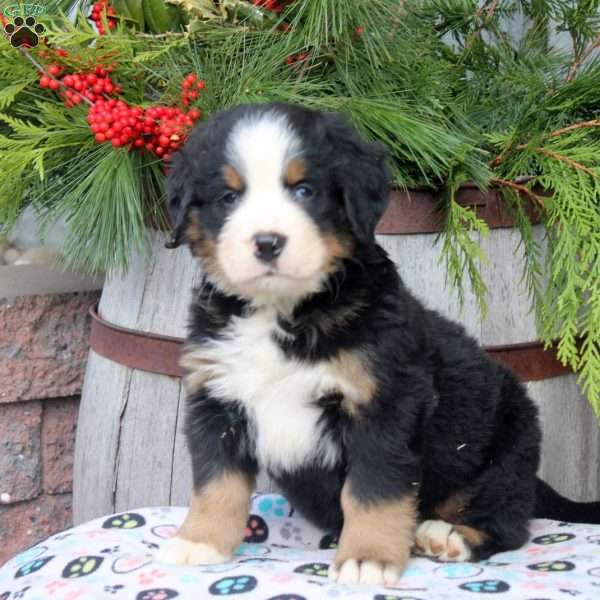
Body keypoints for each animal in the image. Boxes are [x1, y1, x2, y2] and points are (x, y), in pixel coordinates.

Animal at [156, 101, 600, 584]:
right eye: (228, 198)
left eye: (305, 191)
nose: (268, 242)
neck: (284, 312)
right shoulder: (218, 400)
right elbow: (216, 483)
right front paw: (199, 541)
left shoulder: (384, 403)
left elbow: (373, 490)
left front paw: (366, 558)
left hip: (506, 452)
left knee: (509, 522)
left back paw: (449, 536)